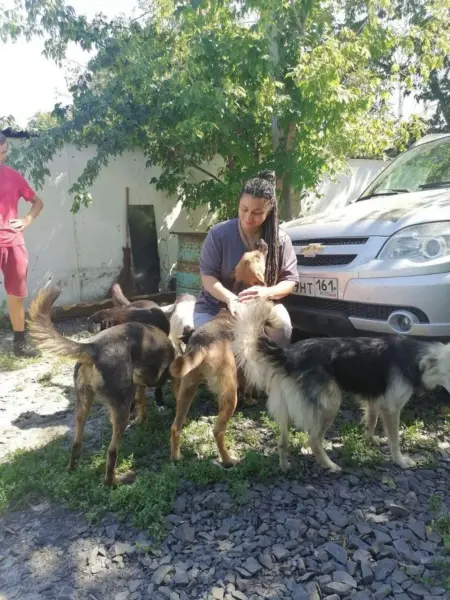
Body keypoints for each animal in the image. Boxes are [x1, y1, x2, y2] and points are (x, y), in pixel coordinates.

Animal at [28, 285, 175, 486]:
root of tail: (93, 348)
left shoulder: (139, 382)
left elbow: (141, 399)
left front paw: (141, 417)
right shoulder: (156, 376)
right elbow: (150, 393)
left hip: (82, 404)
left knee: (77, 442)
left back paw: (72, 468)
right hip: (119, 410)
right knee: (111, 452)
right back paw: (118, 479)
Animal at [231, 298, 450, 473]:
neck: (414, 357)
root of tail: (289, 355)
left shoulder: (374, 399)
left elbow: (371, 421)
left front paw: (370, 440)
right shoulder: (391, 408)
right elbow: (394, 439)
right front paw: (400, 461)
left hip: (286, 409)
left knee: (282, 442)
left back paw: (285, 467)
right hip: (331, 404)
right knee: (313, 440)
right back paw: (330, 465)